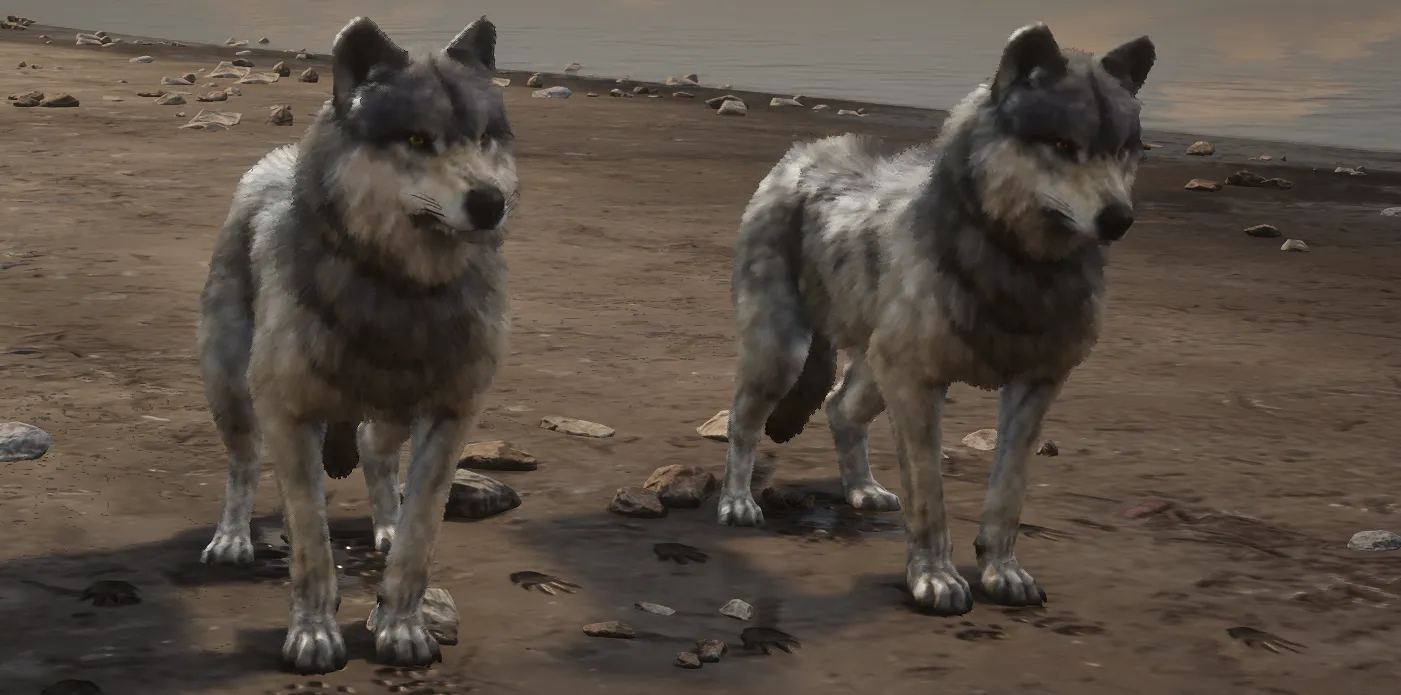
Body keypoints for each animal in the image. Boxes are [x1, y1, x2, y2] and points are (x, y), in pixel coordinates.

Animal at [194, 15, 518, 673]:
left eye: (485, 137)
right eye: (417, 139)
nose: (491, 203)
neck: (401, 291)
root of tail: (273, 161)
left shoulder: (452, 417)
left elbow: (421, 535)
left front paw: (402, 627)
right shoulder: (289, 416)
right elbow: (311, 546)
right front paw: (314, 636)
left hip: (393, 414)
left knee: (375, 452)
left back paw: (385, 526)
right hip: (231, 392)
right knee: (243, 464)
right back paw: (232, 539)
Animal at [716, 23, 1155, 616]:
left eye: (1125, 150)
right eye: (1064, 146)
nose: (1119, 220)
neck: (1017, 265)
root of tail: (805, 151)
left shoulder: (1035, 387)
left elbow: (1008, 493)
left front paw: (1001, 571)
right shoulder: (918, 384)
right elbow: (928, 496)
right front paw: (935, 579)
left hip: (874, 372)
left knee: (838, 408)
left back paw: (862, 490)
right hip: (783, 354)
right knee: (743, 422)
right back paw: (736, 502)